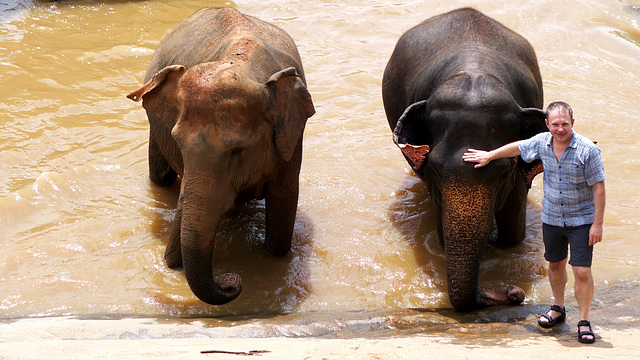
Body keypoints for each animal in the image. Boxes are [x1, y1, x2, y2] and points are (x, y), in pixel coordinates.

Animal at [125, 7, 316, 304]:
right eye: (179, 143)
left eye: (238, 150)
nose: (231, 281)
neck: (242, 62)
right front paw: (172, 263)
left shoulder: (291, 144)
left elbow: (283, 206)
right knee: (160, 177)